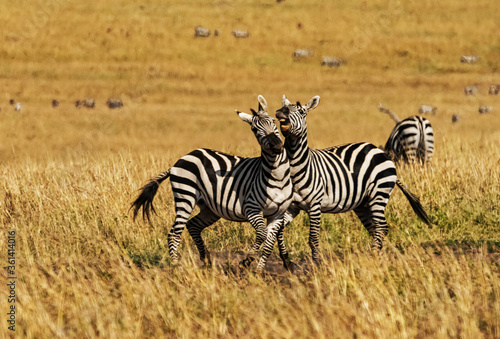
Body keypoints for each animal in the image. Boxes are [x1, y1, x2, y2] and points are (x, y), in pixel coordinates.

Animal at [130, 95, 292, 270]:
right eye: (255, 130)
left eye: (273, 122)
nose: (277, 146)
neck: (277, 176)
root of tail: (181, 159)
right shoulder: (252, 208)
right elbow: (262, 235)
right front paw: (246, 261)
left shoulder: (278, 214)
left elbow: (268, 244)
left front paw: (259, 271)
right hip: (185, 196)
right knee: (174, 233)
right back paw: (176, 265)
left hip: (210, 208)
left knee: (193, 225)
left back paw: (206, 260)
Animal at [274, 95, 430, 266]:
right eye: (285, 107)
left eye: (302, 111)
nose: (281, 112)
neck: (296, 168)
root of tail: (380, 152)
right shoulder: (291, 207)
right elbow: (277, 230)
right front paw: (284, 259)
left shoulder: (315, 205)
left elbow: (313, 239)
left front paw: (317, 264)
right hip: (363, 203)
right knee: (375, 228)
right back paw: (377, 257)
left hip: (379, 193)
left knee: (381, 227)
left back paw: (373, 257)